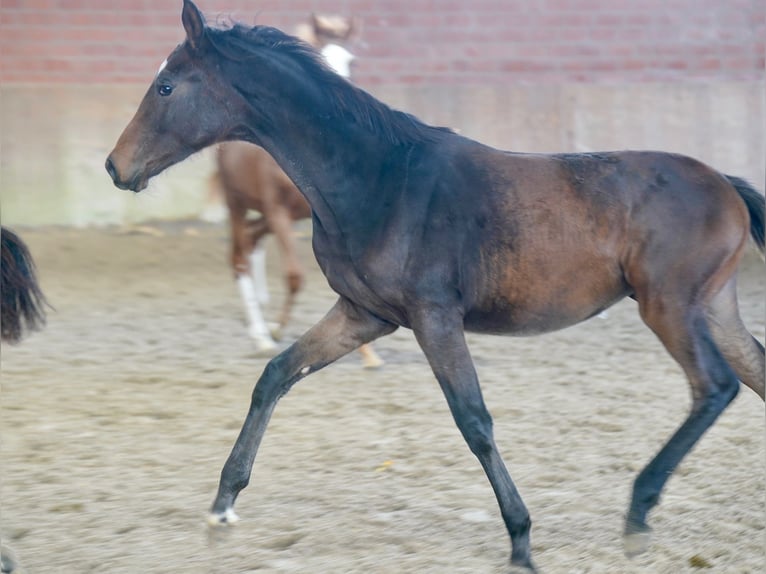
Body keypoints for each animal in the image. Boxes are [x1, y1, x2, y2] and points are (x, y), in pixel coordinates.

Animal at [105, 2, 765, 571]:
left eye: (166, 88)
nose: (115, 166)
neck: (377, 177)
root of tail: (727, 185)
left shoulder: (433, 315)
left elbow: (473, 419)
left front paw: (521, 542)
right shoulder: (364, 313)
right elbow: (275, 375)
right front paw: (221, 509)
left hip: (668, 306)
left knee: (714, 387)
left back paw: (637, 512)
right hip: (714, 307)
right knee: (752, 372)